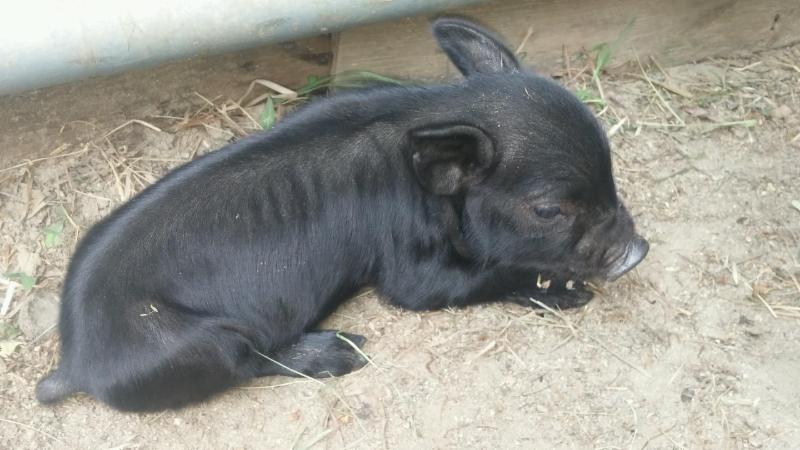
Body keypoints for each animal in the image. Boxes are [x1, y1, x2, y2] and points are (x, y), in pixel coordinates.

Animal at [36, 17, 648, 412]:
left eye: (612, 169)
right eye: (549, 209)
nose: (637, 251)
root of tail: (75, 364)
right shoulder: (408, 268)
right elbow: (455, 283)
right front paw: (569, 292)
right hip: (194, 345)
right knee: (251, 360)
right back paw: (343, 351)